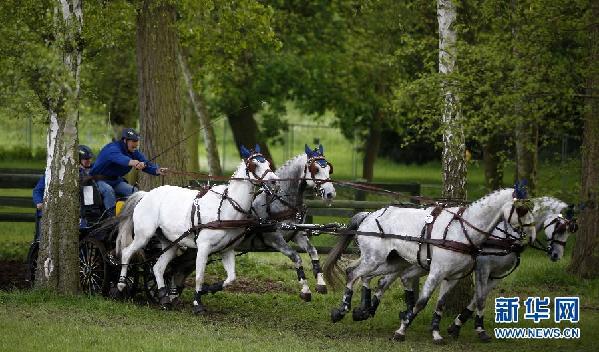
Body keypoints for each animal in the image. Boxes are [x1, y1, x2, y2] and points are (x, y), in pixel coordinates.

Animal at [114, 146, 278, 314]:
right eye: (254, 165)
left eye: (267, 163)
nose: (274, 181)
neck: (226, 207)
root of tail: (146, 194)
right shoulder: (204, 247)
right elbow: (199, 276)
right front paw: (197, 303)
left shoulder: (227, 249)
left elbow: (231, 278)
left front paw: (208, 290)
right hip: (143, 235)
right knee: (126, 253)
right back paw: (121, 284)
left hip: (170, 243)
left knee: (157, 268)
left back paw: (164, 298)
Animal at [326, 188, 536, 342]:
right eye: (521, 210)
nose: (531, 235)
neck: (463, 230)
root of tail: (369, 215)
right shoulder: (437, 271)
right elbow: (422, 302)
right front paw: (401, 331)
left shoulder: (452, 277)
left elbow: (440, 304)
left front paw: (436, 333)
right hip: (374, 259)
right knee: (353, 273)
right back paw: (342, 310)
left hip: (390, 261)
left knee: (367, 276)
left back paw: (361, 310)